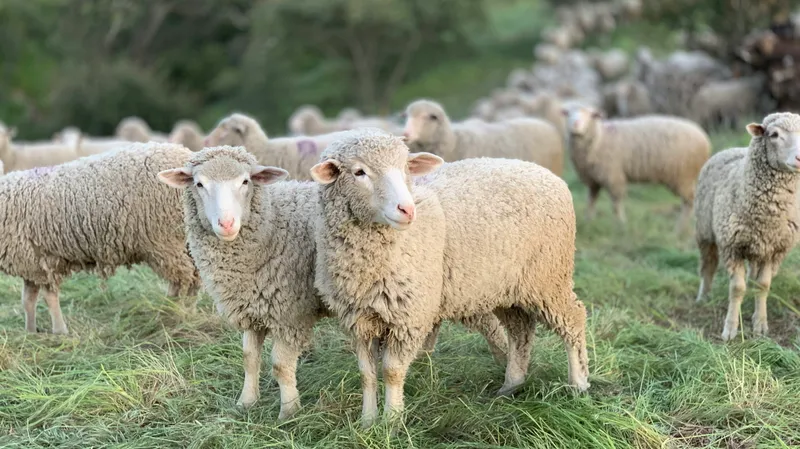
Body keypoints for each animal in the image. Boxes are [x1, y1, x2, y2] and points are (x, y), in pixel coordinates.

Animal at [1, 142, 200, 335]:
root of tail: (186, 154)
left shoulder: (41, 262)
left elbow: (49, 298)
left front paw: (59, 331)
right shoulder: (30, 262)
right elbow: (28, 300)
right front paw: (30, 332)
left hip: (165, 241)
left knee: (183, 279)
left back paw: (173, 312)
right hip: (183, 241)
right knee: (194, 276)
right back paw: (183, 311)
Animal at [157, 146, 509, 419]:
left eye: (245, 182)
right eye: (199, 184)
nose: (227, 223)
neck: (271, 225)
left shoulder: (290, 312)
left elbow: (280, 365)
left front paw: (289, 412)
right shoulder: (252, 307)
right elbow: (249, 358)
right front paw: (246, 402)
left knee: (492, 327)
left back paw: (505, 368)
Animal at [311, 128, 589, 425]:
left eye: (406, 168)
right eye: (359, 172)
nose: (407, 209)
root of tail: (548, 175)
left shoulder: (409, 316)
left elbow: (391, 372)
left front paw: (392, 421)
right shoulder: (358, 319)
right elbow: (367, 374)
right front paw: (367, 421)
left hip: (548, 277)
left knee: (573, 319)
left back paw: (578, 384)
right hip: (508, 286)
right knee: (520, 331)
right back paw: (511, 385)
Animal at [563, 105, 711, 230]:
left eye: (591, 115)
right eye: (568, 114)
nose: (575, 124)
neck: (599, 138)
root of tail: (704, 138)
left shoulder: (613, 176)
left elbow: (616, 203)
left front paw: (620, 224)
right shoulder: (593, 180)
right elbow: (591, 200)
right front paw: (588, 221)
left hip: (682, 175)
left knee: (689, 201)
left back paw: (680, 229)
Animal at [694, 113, 800, 341]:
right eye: (774, 135)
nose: (799, 158)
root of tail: (732, 148)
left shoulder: (774, 249)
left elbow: (763, 285)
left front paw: (760, 324)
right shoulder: (731, 246)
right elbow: (737, 288)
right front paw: (730, 329)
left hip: (756, 247)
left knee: (753, 275)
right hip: (704, 231)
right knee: (708, 266)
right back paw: (703, 297)